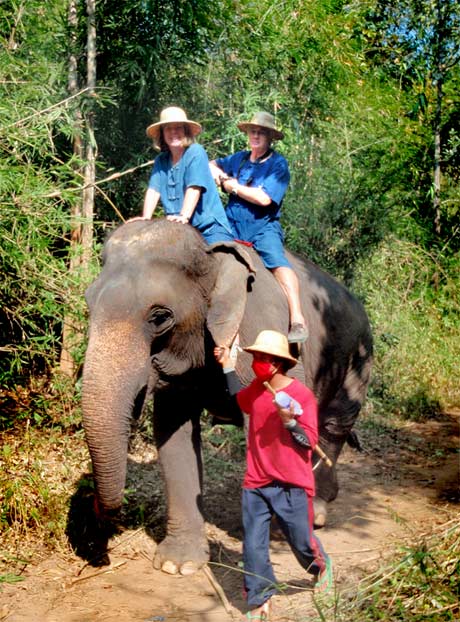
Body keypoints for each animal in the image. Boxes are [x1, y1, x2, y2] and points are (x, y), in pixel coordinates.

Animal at [81, 218, 372, 576]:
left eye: (160, 317)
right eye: (88, 304)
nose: (98, 513)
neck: (213, 258)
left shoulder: (261, 329)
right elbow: (173, 431)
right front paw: (178, 565)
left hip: (358, 356)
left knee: (334, 425)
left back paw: (315, 511)